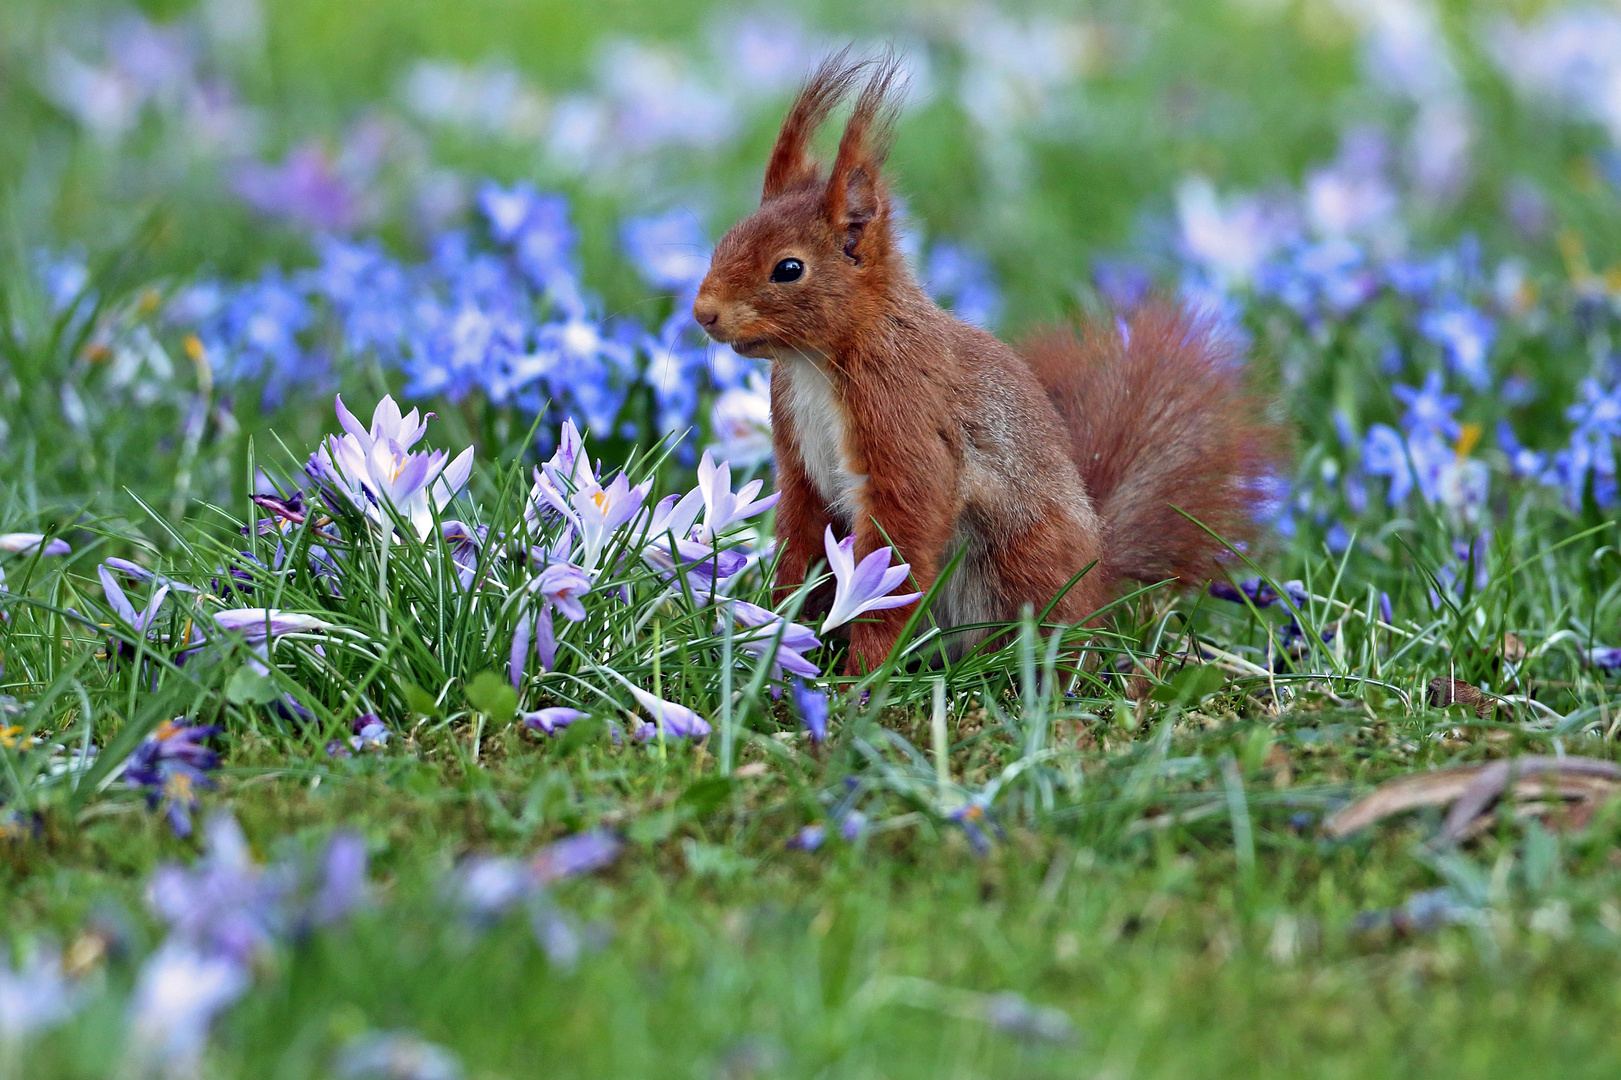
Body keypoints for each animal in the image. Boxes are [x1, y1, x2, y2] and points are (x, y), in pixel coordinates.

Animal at [690, 56, 1283, 674]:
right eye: (726, 239)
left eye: (788, 269)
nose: (703, 313)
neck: (818, 362)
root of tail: (1097, 580)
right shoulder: (800, 459)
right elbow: (801, 540)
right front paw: (782, 630)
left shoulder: (906, 421)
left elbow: (901, 543)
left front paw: (861, 675)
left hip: (1021, 562)